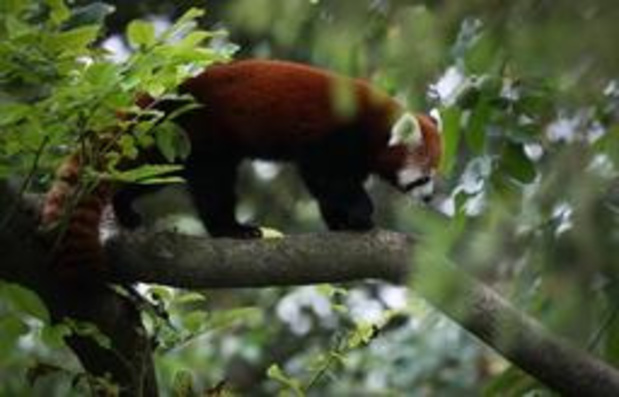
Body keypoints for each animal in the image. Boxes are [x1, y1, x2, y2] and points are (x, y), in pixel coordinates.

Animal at [43, 58, 440, 276]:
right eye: (425, 178)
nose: (432, 199)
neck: (374, 127)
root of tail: (174, 85)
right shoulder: (332, 137)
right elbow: (328, 179)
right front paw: (360, 213)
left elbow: (329, 188)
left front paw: (341, 222)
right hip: (198, 131)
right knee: (211, 184)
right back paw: (231, 229)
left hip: (172, 143)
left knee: (151, 173)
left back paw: (125, 208)